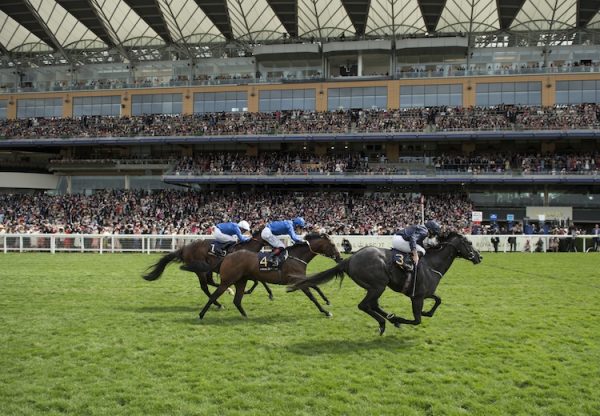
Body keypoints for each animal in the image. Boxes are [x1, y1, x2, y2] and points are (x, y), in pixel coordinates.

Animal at [142, 228, 274, 308]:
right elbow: (258, 281)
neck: (246, 248)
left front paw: (269, 293)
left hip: (208, 269)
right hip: (200, 270)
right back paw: (219, 303)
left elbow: (260, 281)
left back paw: (228, 290)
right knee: (204, 286)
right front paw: (250, 291)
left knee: (210, 282)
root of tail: (185, 249)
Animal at [198, 234, 342, 318]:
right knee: (214, 295)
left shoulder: (301, 280)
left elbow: (315, 286)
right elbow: (312, 297)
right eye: (333, 244)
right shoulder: (297, 280)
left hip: (241, 281)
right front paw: (325, 311)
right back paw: (202, 314)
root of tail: (227, 256)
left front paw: (327, 301)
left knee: (237, 300)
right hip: (228, 280)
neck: (296, 257)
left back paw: (246, 316)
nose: (340, 258)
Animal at [288, 232, 480, 336]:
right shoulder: (417, 297)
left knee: (373, 305)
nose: (479, 257)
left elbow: (438, 300)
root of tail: (349, 259)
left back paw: (389, 319)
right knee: (364, 305)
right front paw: (401, 318)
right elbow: (417, 320)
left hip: (376, 287)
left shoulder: (425, 293)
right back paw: (385, 322)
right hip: (377, 285)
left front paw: (427, 312)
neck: (431, 264)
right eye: (469, 242)